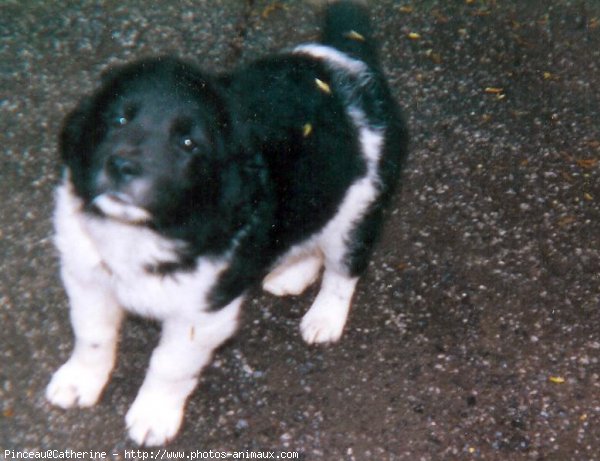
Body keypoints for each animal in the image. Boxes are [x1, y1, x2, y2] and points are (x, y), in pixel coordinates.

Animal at [45, 0, 408, 446]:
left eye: (188, 144)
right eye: (118, 120)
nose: (122, 167)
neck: (144, 230)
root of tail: (350, 62)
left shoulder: (201, 314)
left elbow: (169, 364)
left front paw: (152, 415)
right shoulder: (87, 277)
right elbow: (91, 336)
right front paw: (79, 382)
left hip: (362, 205)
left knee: (344, 268)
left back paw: (324, 317)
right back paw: (291, 274)